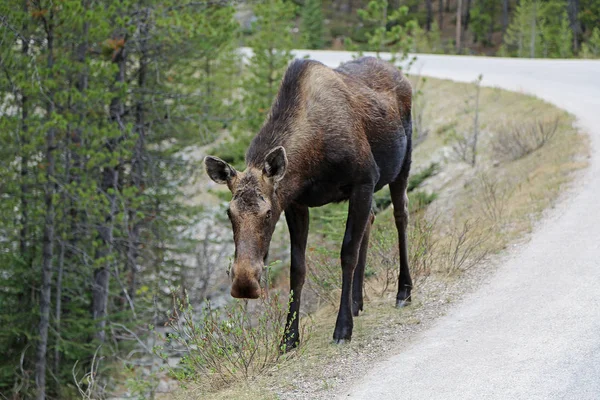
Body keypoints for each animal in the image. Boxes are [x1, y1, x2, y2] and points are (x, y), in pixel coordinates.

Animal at [206, 56, 412, 350]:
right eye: (229, 212)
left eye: (268, 212)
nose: (244, 283)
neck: (310, 161)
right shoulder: (296, 203)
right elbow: (297, 268)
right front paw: (289, 337)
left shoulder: (364, 179)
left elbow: (347, 253)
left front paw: (342, 328)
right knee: (371, 220)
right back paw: (356, 301)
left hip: (402, 164)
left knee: (400, 216)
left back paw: (403, 291)